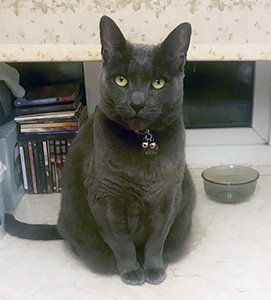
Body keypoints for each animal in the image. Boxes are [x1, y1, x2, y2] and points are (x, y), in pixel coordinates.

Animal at [5, 15, 197, 286]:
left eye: (158, 83)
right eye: (121, 79)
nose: (137, 102)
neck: (142, 142)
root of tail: (60, 225)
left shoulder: (168, 197)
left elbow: (155, 241)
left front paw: (153, 269)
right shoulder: (106, 199)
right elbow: (122, 244)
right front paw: (131, 272)